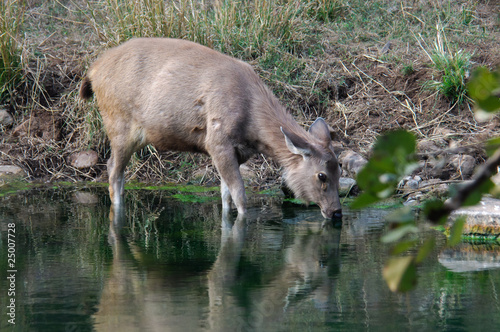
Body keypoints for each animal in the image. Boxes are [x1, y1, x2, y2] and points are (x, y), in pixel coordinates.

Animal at [79, 37, 344, 219]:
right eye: (321, 175)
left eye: (340, 170)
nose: (336, 213)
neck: (252, 126)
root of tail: (92, 71)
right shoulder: (217, 141)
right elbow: (240, 196)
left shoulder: (237, 152)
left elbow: (225, 195)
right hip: (119, 124)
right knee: (113, 172)